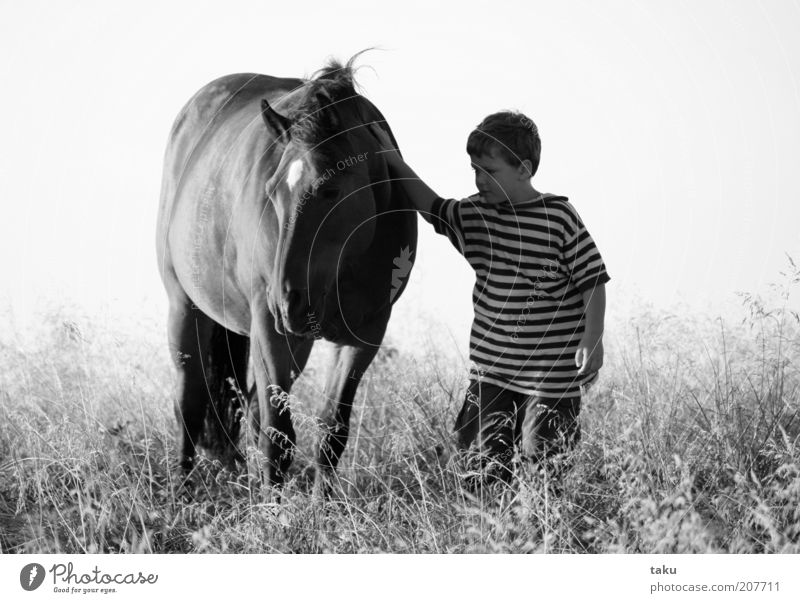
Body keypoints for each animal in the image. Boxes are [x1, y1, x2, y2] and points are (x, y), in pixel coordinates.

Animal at [157, 54, 418, 494]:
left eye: (331, 190)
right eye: (272, 191)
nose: (287, 299)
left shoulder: (365, 334)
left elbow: (331, 430)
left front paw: (320, 503)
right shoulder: (269, 327)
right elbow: (276, 435)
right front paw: (273, 508)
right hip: (184, 306)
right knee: (189, 403)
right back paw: (183, 490)